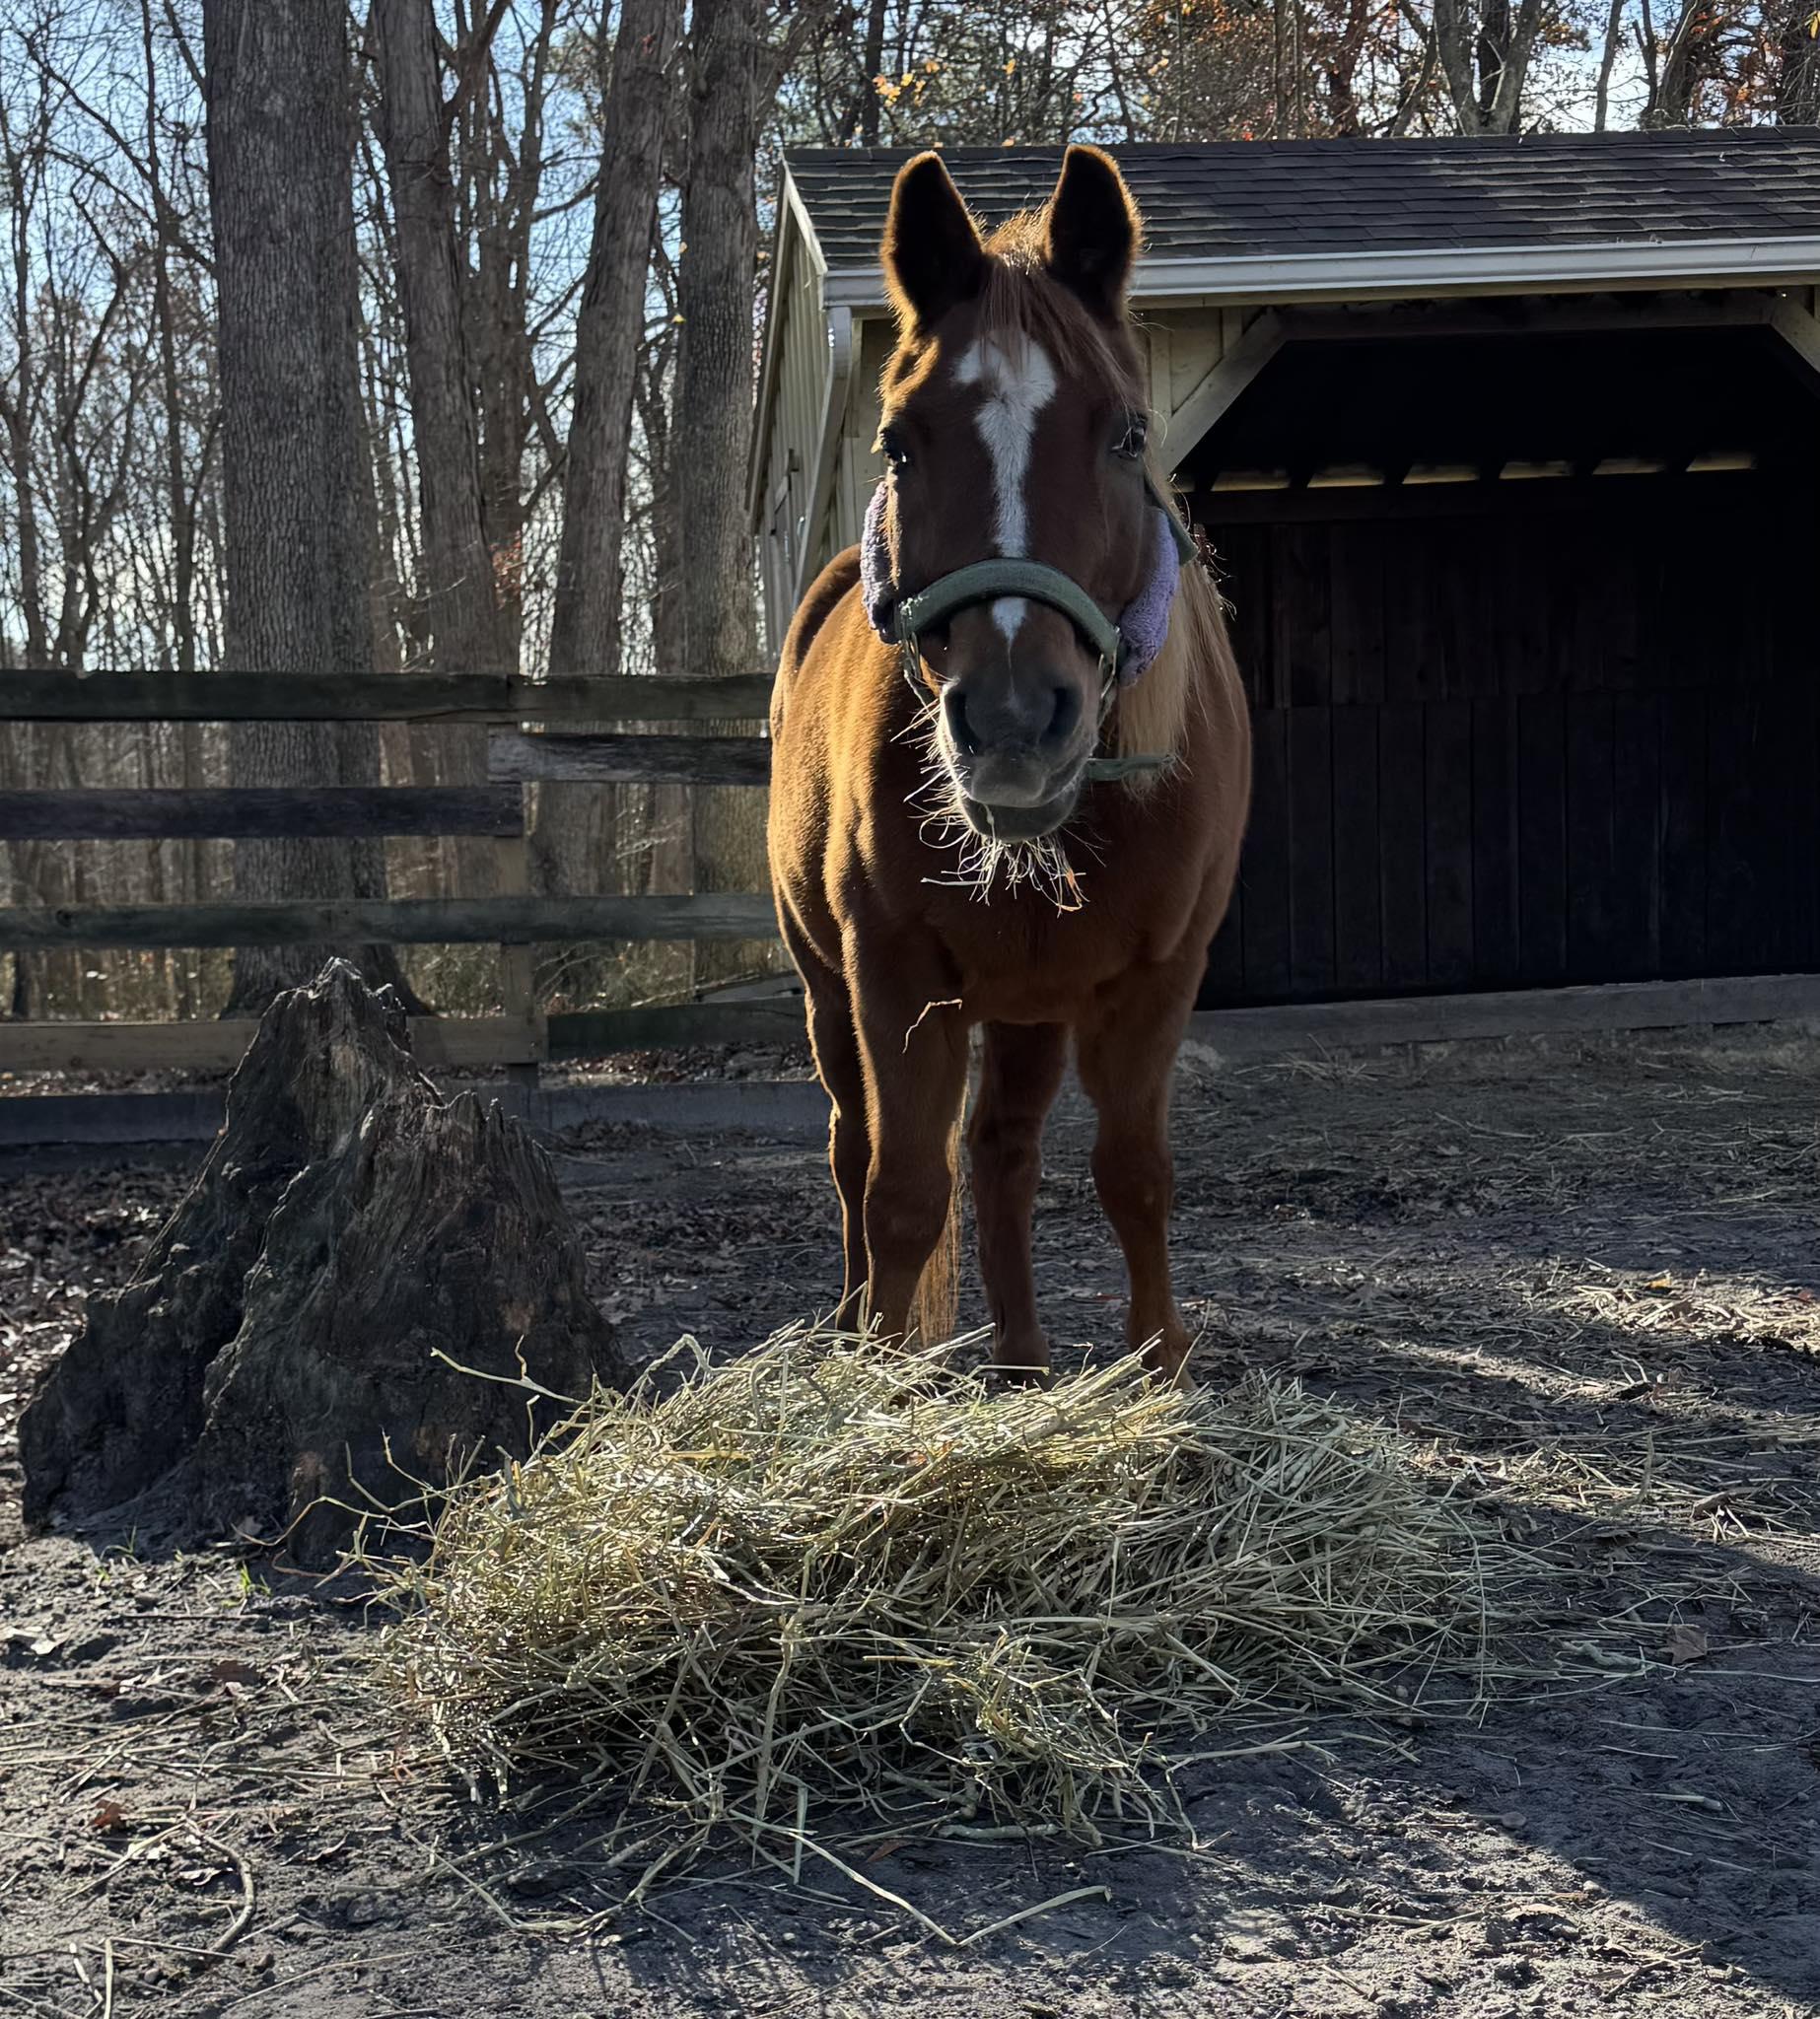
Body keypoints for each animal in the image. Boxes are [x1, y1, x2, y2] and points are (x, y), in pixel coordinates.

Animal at [767, 144, 1251, 1384]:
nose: (1017, 720)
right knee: (854, 1149)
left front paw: (1159, 1369)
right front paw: (882, 1382)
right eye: (899, 439)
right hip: (828, 990)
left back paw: (1025, 1358)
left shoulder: (1158, 980)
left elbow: (1133, 1177)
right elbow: (899, 1192)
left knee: (1002, 1153)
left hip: (1030, 1007)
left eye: (1125, 433)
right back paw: (860, 1324)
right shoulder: (892, 977)